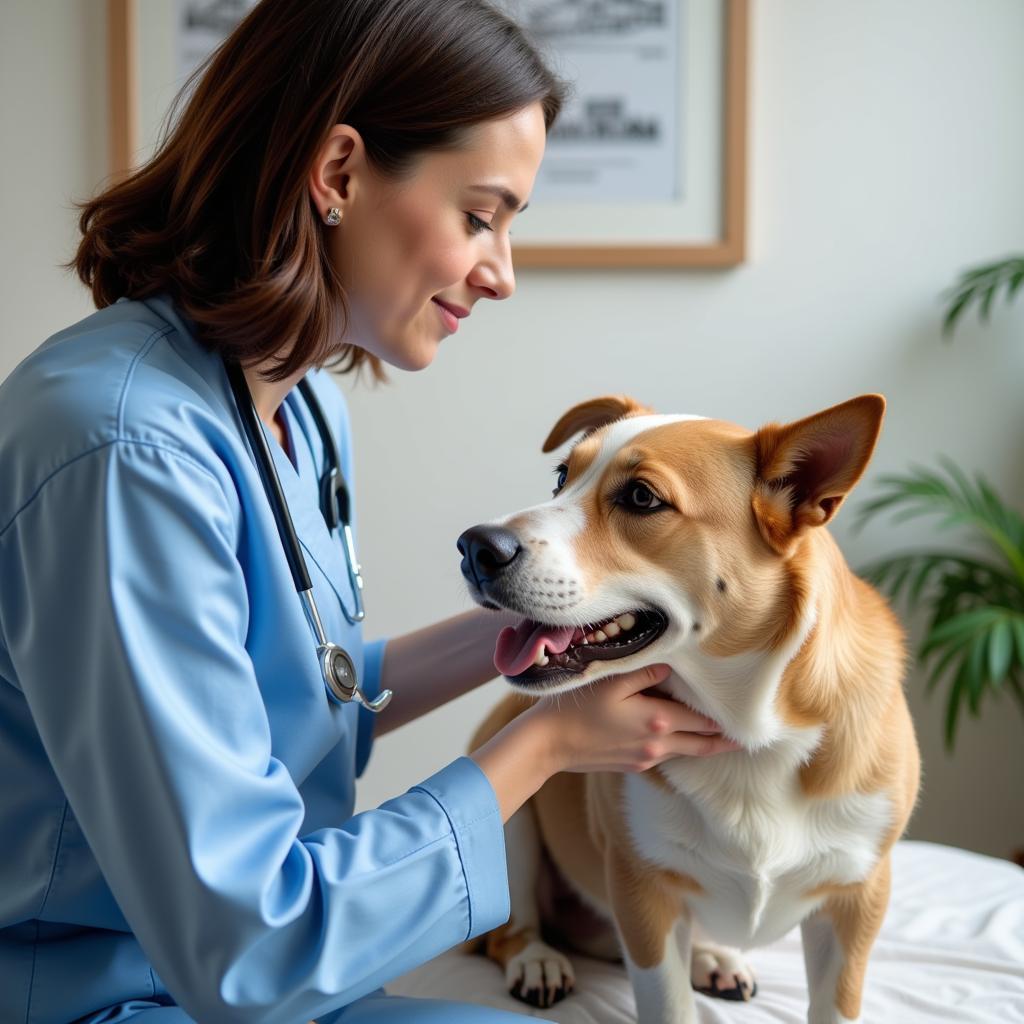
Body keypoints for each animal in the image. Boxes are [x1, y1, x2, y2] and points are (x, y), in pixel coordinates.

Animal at [456, 393, 921, 1024]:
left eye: (641, 498)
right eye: (561, 477)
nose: (474, 546)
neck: (750, 734)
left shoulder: (857, 900)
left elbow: (836, 1004)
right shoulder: (641, 889)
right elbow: (668, 1003)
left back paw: (712, 957)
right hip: (513, 820)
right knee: (508, 931)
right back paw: (537, 961)